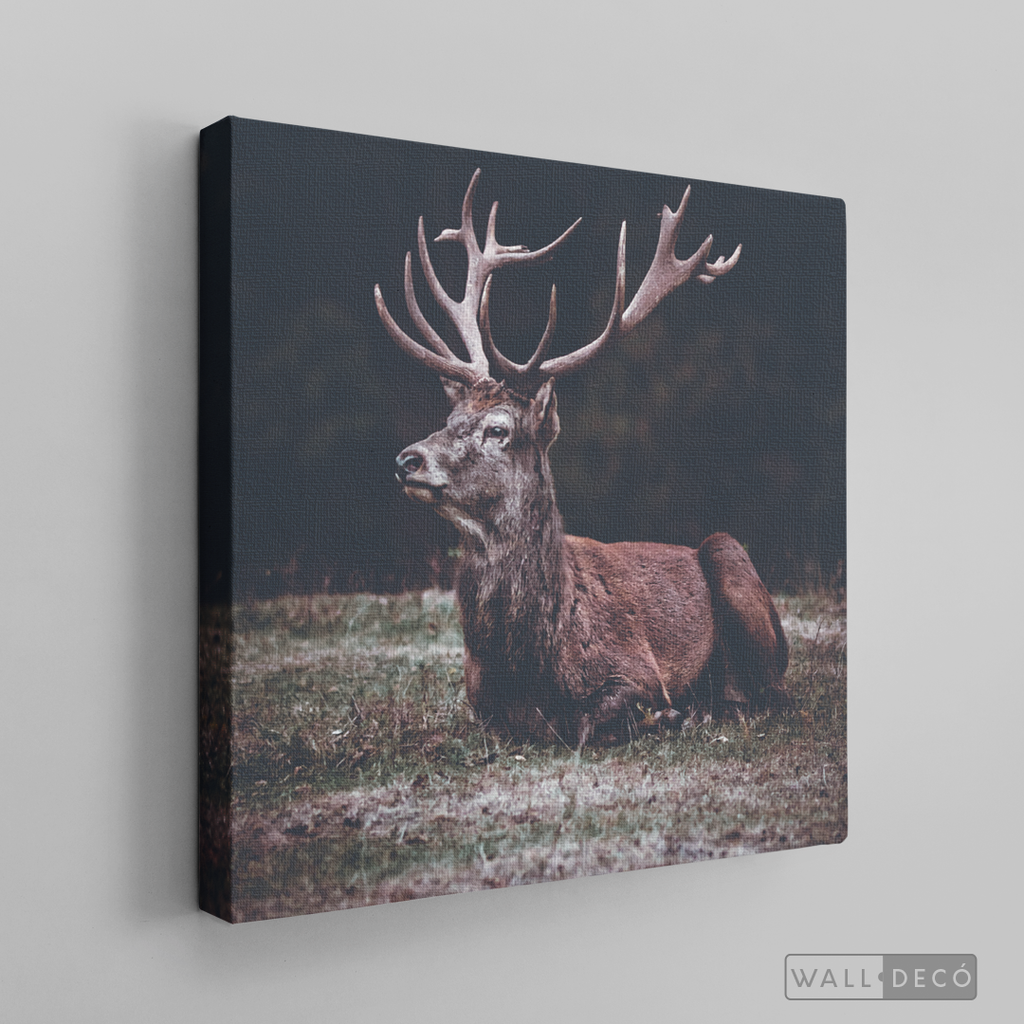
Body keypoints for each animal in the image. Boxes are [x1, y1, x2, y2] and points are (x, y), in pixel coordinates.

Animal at [375, 169, 790, 747]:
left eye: (498, 429)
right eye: (450, 415)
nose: (406, 460)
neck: (531, 664)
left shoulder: (637, 668)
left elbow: (590, 723)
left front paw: (668, 715)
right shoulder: (478, 700)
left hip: (732, 560)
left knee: (771, 693)